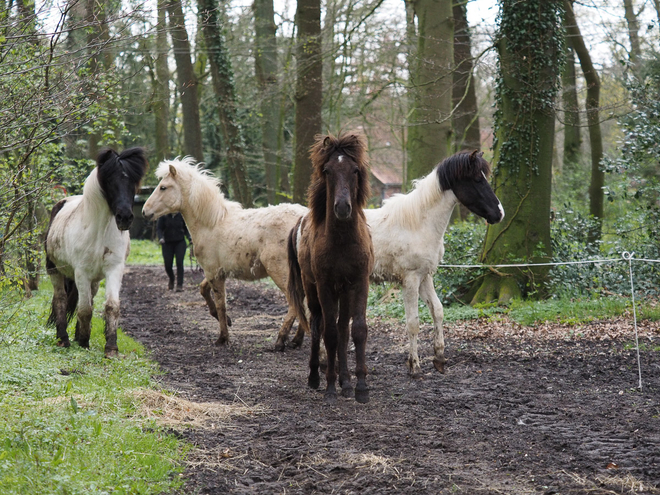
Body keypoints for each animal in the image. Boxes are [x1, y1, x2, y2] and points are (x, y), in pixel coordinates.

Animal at [46, 146, 148, 356]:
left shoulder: (114, 269)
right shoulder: (81, 272)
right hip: (55, 271)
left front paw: (111, 348)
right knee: (60, 299)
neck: (99, 232)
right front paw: (84, 343)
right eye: (110, 181)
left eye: (133, 182)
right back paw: (63, 339)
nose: (125, 218)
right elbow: (84, 309)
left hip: (93, 280)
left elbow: (111, 306)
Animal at [288, 132, 374, 404]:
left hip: (343, 292)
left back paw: (345, 381)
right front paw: (330, 388)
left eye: (355, 170)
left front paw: (360, 387)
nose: (343, 207)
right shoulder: (325, 286)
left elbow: (356, 330)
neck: (342, 242)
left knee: (342, 328)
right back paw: (316, 376)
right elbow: (330, 334)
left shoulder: (359, 283)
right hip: (313, 288)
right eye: (327, 171)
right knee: (318, 325)